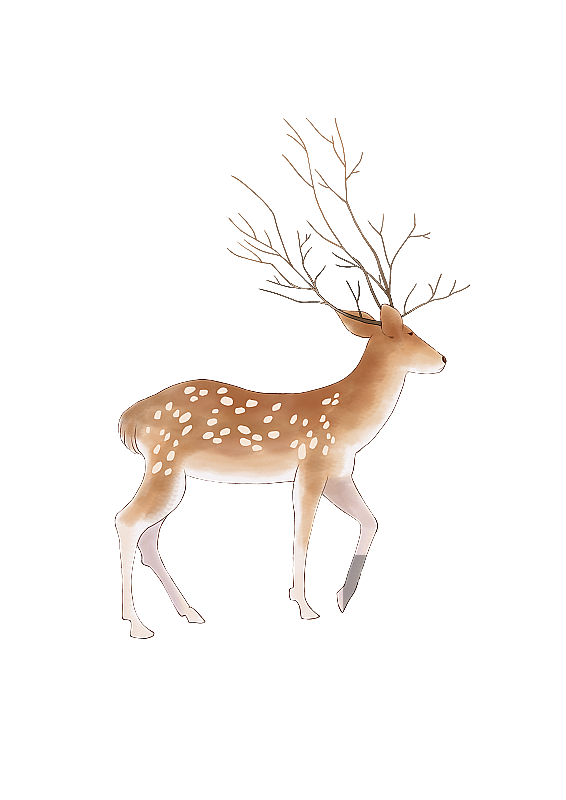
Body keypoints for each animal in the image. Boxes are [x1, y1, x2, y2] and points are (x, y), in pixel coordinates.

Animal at [116, 304, 445, 638]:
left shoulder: (337, 473)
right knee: (128, 521)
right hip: (165, 461)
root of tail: (130, 419)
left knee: (148, 535)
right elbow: (303, 534)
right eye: (409, 332)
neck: (347, 422)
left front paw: (341, 598)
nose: (442, 359)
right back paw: (139, 625)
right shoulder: (313, 463)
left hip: (173, 475)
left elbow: (370, 521)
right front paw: (305, 608)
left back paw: (190, 613)